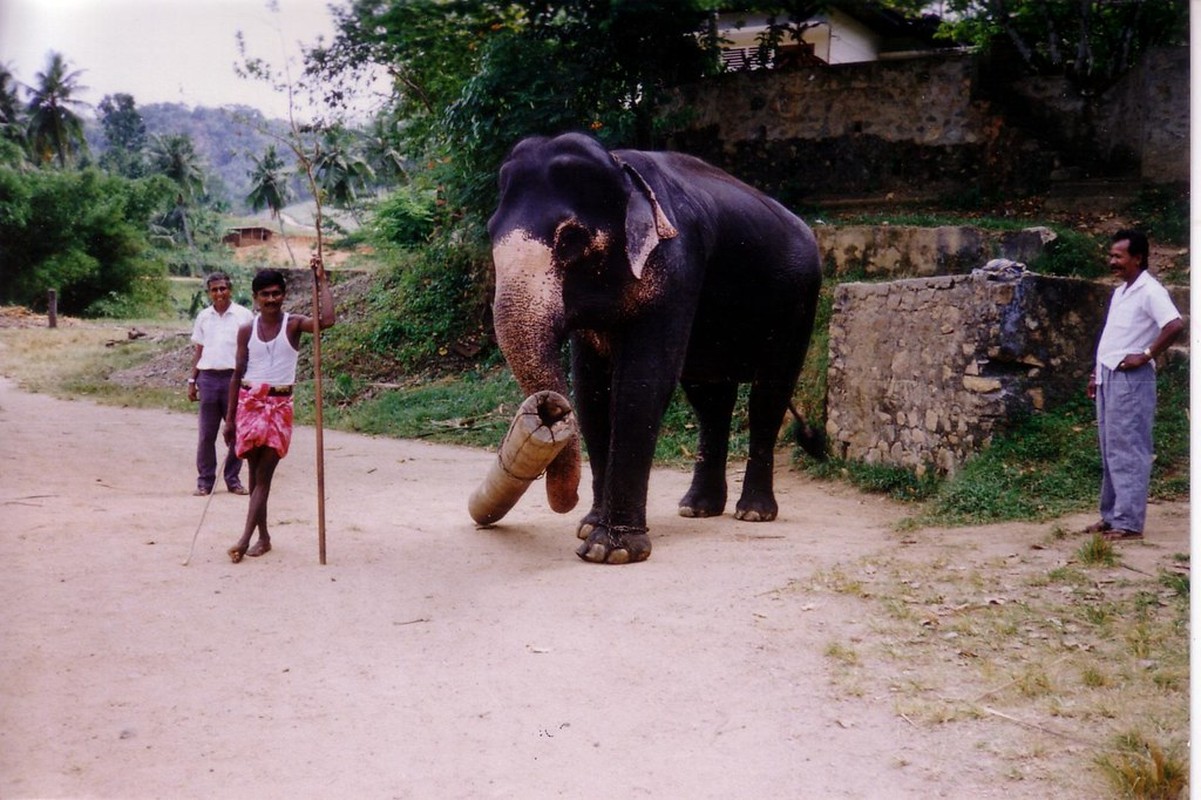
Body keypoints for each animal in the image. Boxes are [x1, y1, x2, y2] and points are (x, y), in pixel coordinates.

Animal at [490, 132, 826, 559]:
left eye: (570, 238)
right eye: (490, 231)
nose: (549, 411)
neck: (621, 168)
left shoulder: (678, 264)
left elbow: (642, 382)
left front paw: (610, 551)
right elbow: (591, 392)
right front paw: (588, 528)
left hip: (798, 305)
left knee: (768, 395)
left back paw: (753, 513)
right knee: (710, 401)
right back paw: (697, 508)